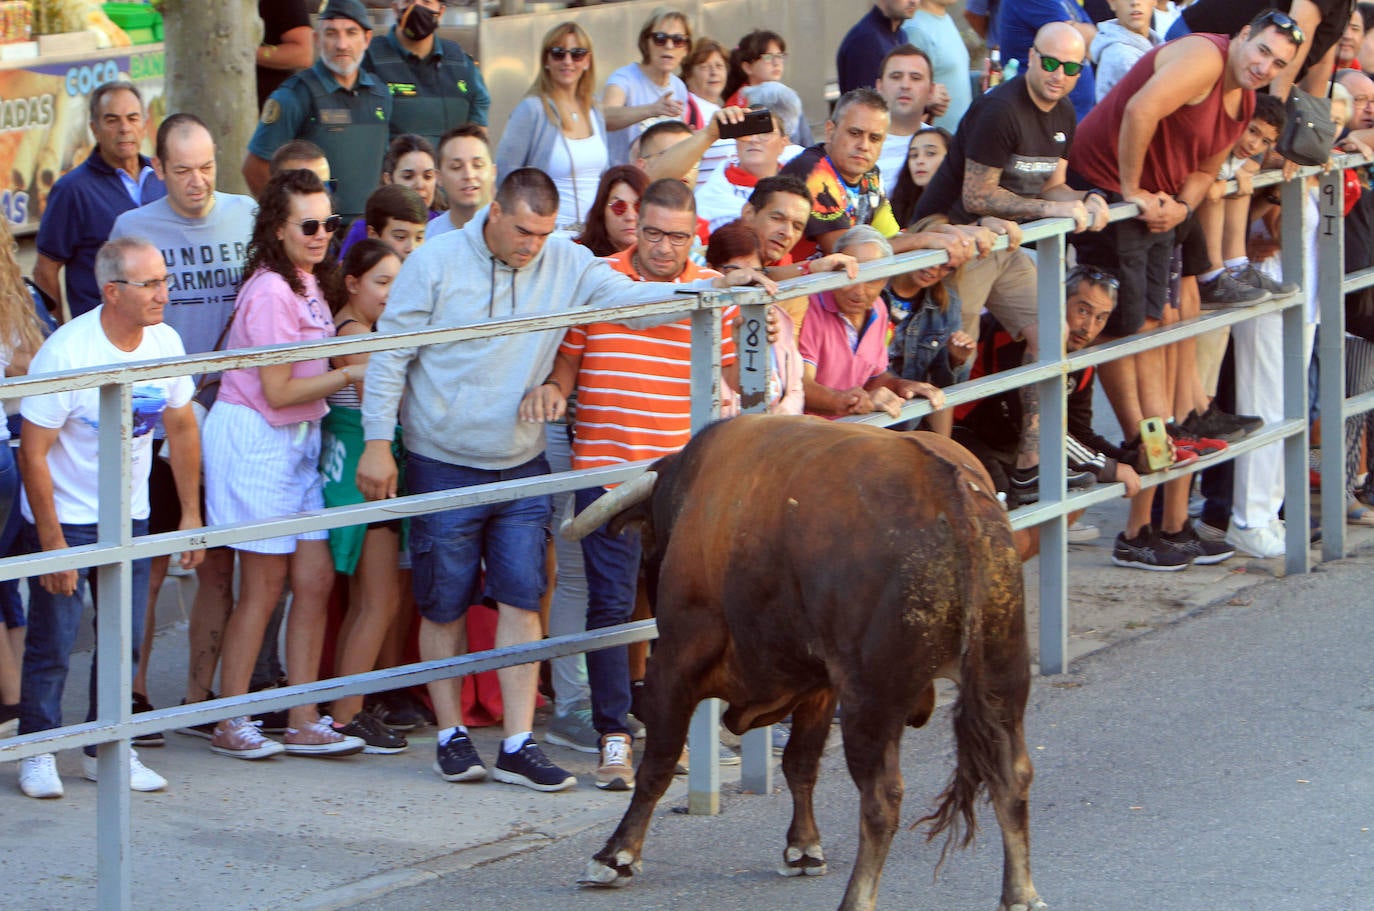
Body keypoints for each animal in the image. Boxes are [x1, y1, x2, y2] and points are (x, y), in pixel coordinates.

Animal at [563, 414, 1044, 911]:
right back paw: (1020, 893)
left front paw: (615, 856)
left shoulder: (675, 662)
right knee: (1012, 774)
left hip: (872, 701)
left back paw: (857, 897)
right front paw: (804, 847)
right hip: (1001, 680)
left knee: (882, 798)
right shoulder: (821, 684)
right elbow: (801, 763)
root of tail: (950, 489)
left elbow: (657, 765)